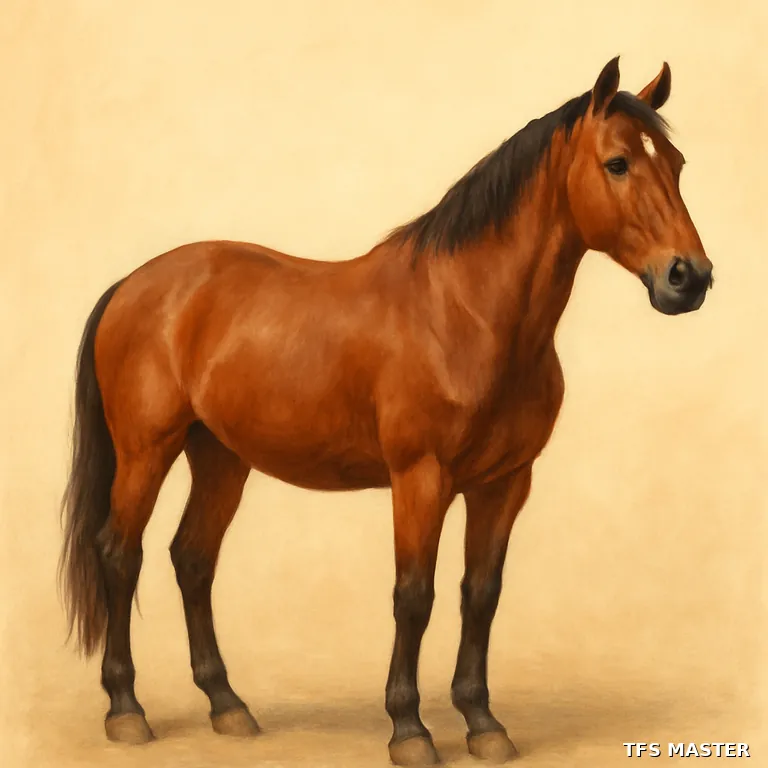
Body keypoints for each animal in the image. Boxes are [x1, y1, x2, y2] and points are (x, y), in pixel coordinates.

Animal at [59, 56, 713, 766]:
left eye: (677, 164)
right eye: (618, 163)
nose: (689, 278)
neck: (467, 314)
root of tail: (132, 285)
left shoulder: (505, 483)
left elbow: (481, 595)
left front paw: (483, 722)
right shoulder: (420, 478)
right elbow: (414, 596)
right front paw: (410, 729)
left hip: (221, 457)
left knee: (192, 558)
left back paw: (228, 706)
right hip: (146, 451)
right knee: (120, 555)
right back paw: (127, 710)